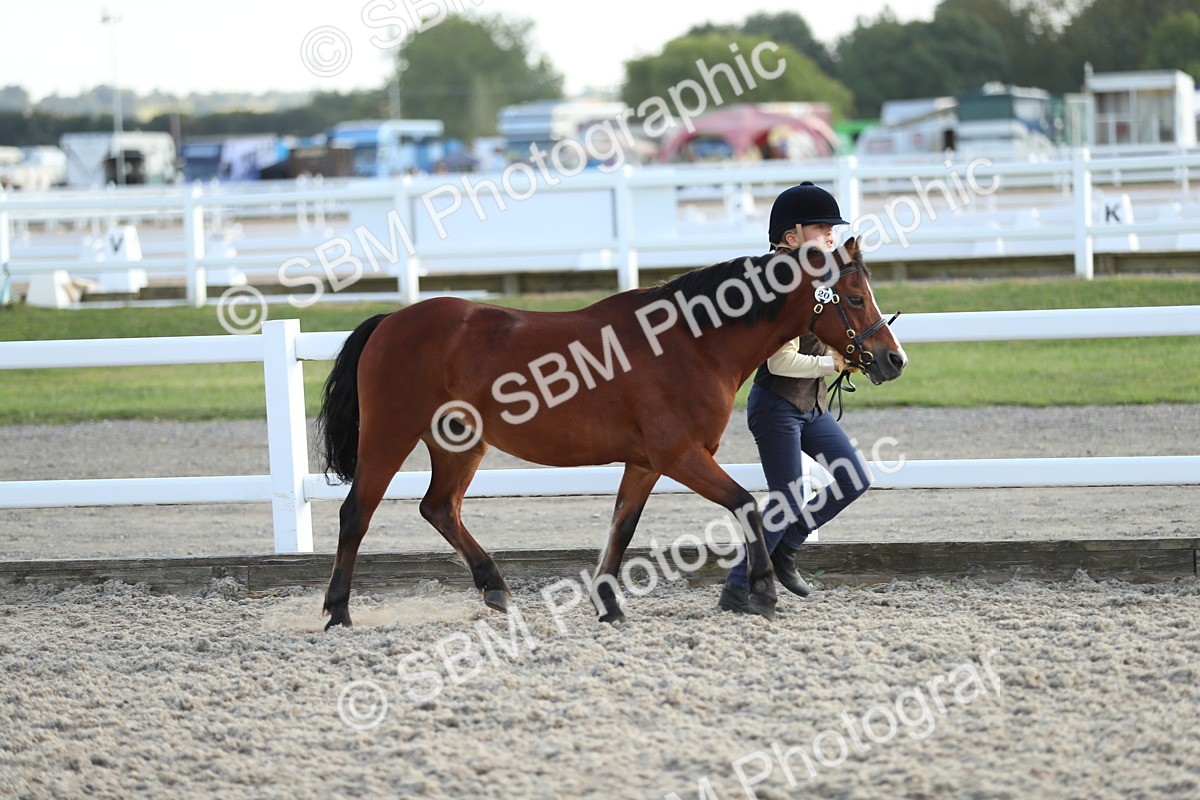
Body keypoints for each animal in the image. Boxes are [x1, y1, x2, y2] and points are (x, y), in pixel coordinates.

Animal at [316, 237, 906, 629]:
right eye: (855, 298)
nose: (893, 360)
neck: (692, 341)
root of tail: (390, 321)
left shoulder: (645, 463)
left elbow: (622, 529)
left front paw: (610, 605)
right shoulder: (680, 455)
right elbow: (748, 504)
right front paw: (762, 593)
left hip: (460, 443)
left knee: (439, 508)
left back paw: (496, 589)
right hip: (389, 437)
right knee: (357, 513)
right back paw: (338, 612)